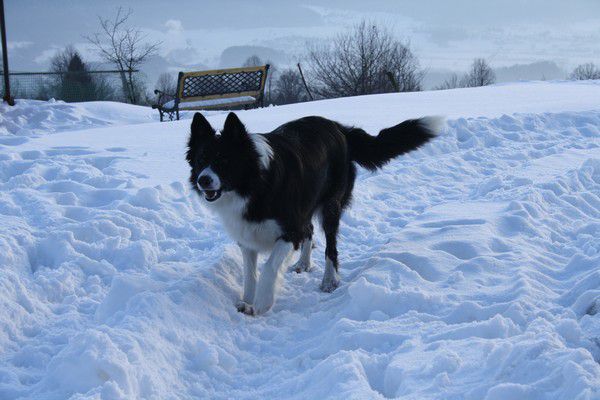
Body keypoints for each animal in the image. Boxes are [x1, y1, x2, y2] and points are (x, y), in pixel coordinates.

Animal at [188, 111, 440, 316]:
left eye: (224, 160)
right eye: (201, 160)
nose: (203, 180)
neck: (253, 184)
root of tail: (338, 126)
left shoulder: (290, 229)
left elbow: (269, 267)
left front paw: (261, 304)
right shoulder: (247, 234)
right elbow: (250, 274)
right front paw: (247, 301)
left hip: (331, 204)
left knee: (330, 246)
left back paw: (329, 280)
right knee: (309, 230)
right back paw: (303, 263)